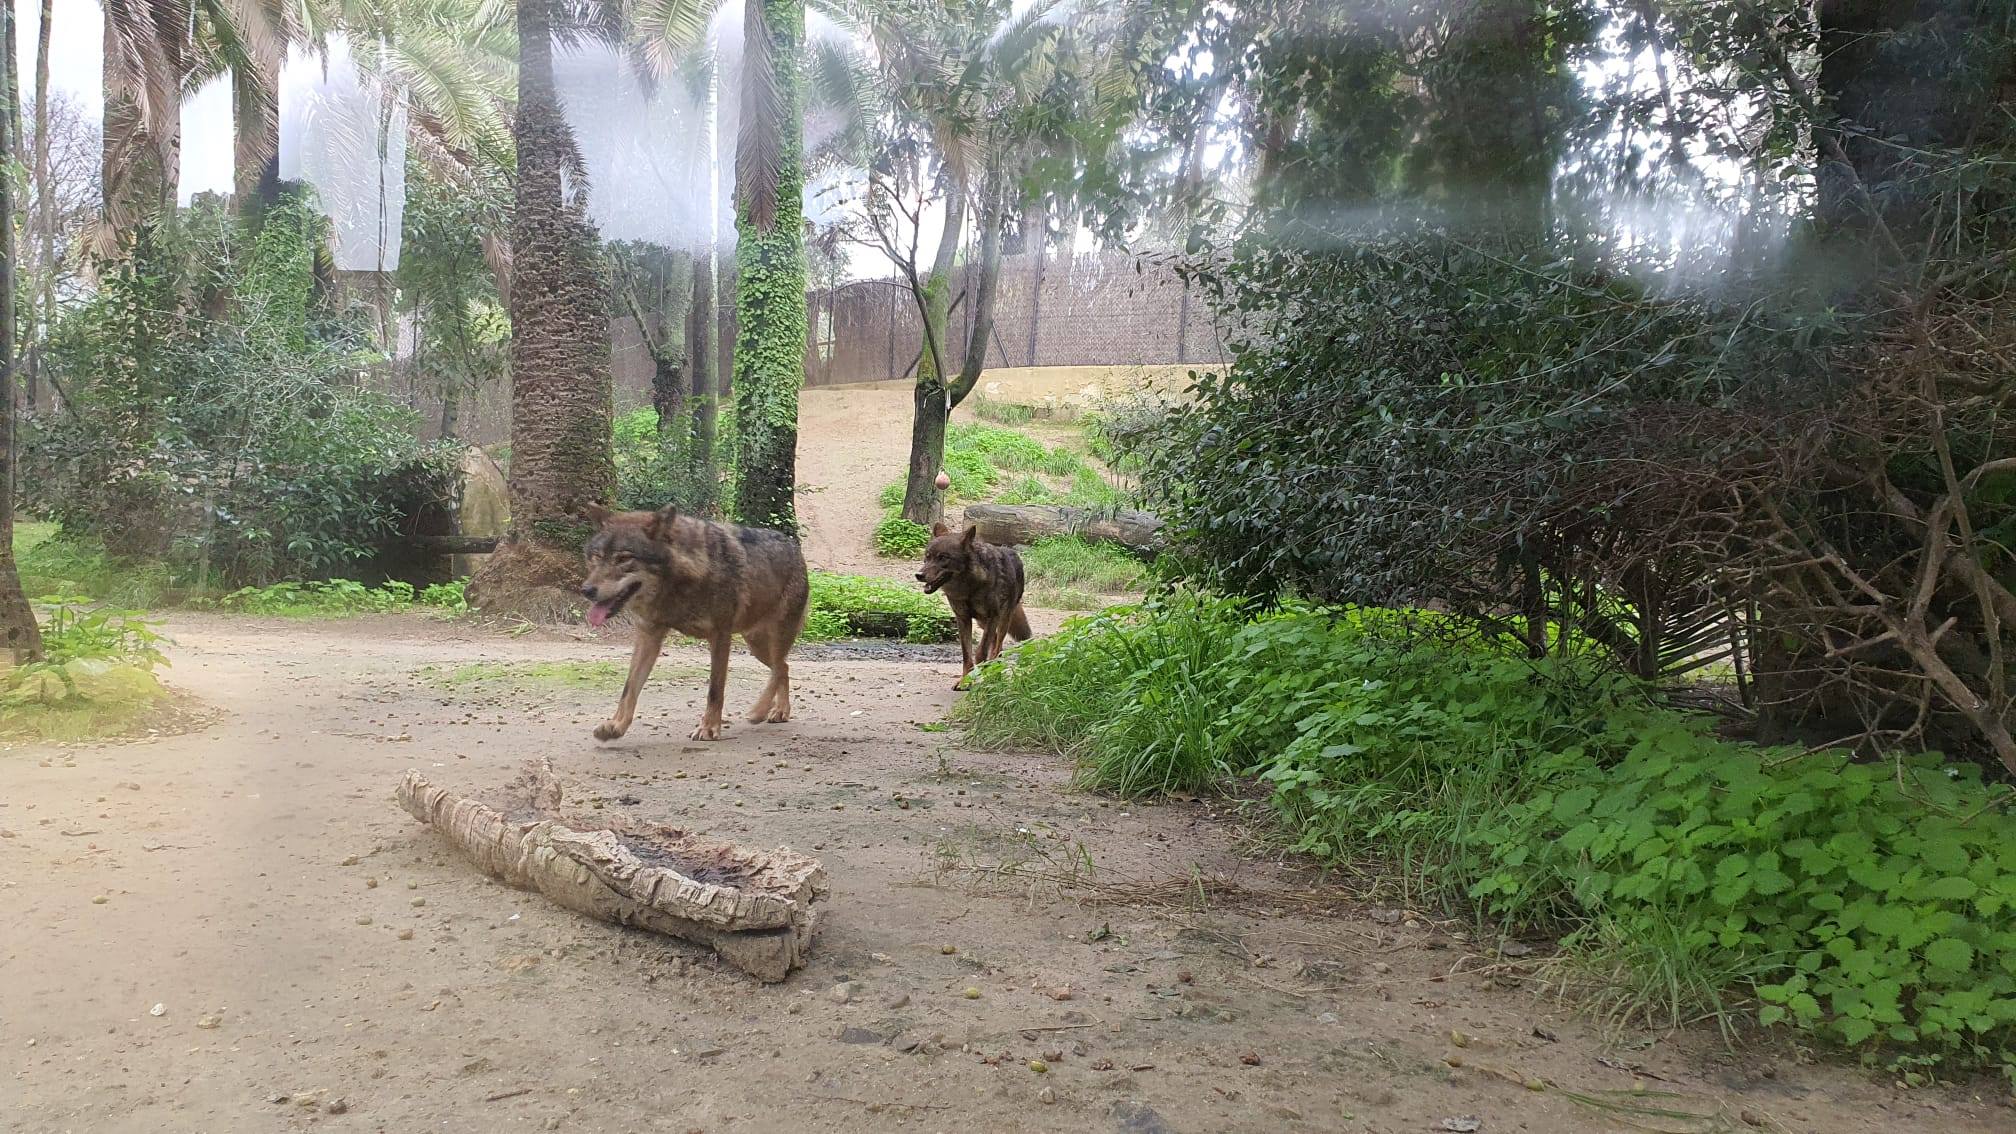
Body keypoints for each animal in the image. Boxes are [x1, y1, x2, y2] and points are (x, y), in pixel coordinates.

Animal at [578, 503, 809, 742]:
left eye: (624, 558)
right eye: (596, 556)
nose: (586, 590)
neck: (678, 584)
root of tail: (792, 544)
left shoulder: (720, 636)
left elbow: (715, 690)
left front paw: (708, 728)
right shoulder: (648, 635)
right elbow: (629, 687)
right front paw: (615, 726)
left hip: (773, 639)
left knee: (778, 668)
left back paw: (760, 711)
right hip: (757, 646)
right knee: (784, 667)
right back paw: (779, 710)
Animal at [916, 523, 1033, 689]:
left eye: (943, 557)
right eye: (927, 557)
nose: (919, 575)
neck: (969, 589)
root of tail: (1012, 551)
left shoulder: (992, 617)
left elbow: (980, 652)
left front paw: (979, 676)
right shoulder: (963, 619)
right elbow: (967, 655)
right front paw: (965, 681)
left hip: (1003, 620)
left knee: (998, 645)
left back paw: (994, 674)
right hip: (982, 623)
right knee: (995, 643)